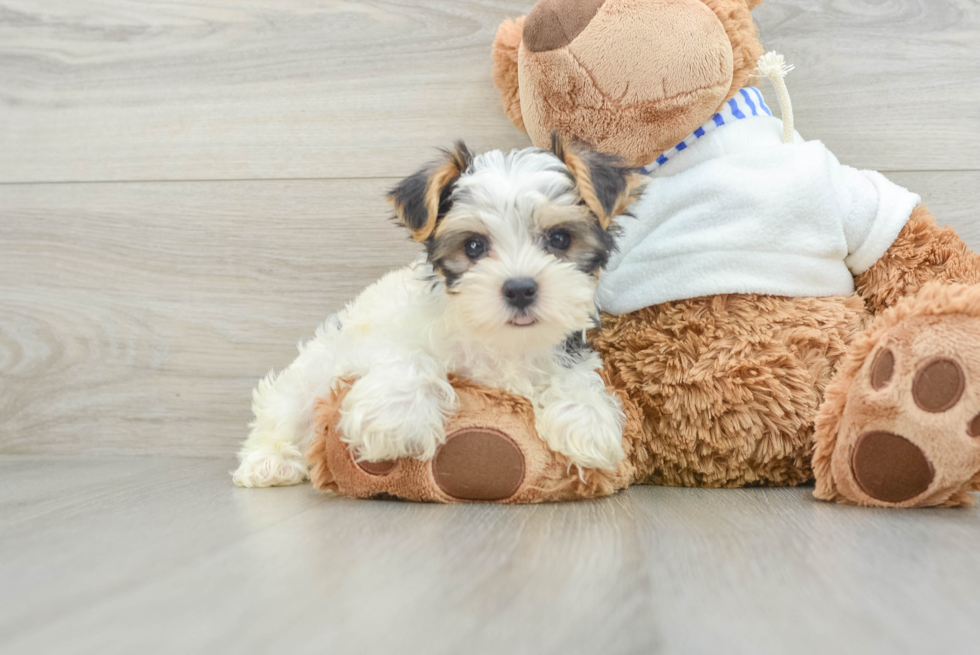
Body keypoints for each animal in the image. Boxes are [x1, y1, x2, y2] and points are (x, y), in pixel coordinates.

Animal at [234, 137, 648, 486]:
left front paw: (588, 419)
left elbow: (577, 376)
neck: (502, 342)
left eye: (560, 238)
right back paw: (268, 462)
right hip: (308, 375)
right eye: (474, 246)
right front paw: (391, 420)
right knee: (280, 414)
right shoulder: (383, 336)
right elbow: (410, 357)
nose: (519, 289)